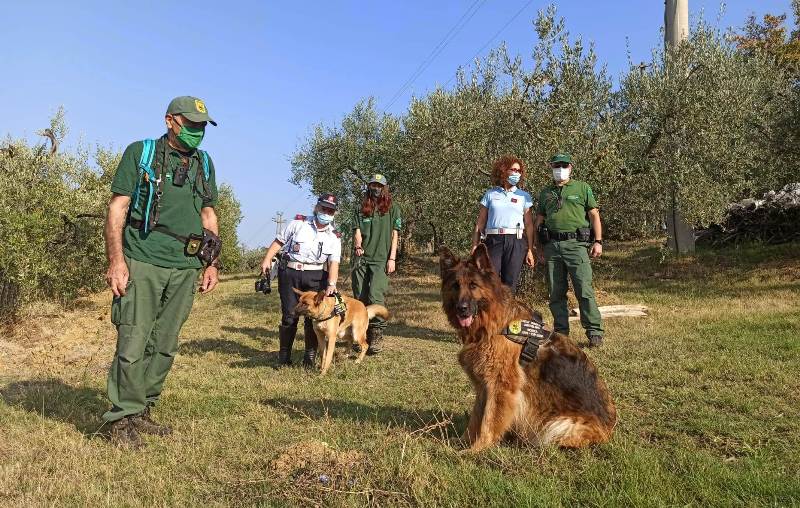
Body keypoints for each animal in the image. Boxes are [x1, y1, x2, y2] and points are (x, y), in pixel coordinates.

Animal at [438, 244, 620, 450]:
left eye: (473, 286)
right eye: (455, 286)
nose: (462, 309)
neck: (494, 325)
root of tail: (609, 429)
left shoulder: (500, 387)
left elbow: (488, 422)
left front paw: (477, 449)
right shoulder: (483, 386)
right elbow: (476, 418)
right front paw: (463, 442)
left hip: (556, 426)